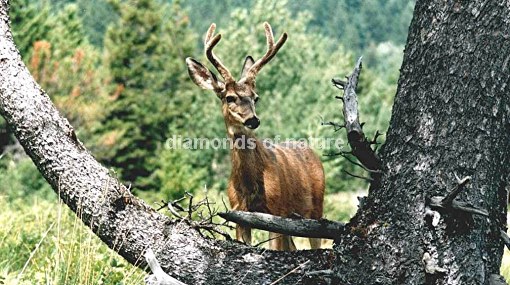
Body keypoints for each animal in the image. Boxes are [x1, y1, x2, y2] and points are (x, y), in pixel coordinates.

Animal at [185, 22, 324, 248]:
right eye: (230, 97)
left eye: (255, 97)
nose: (253, 120)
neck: (250, 186)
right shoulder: (239, 214)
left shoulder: (277, 211)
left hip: (316, 208)